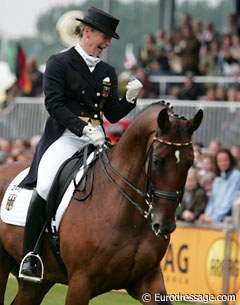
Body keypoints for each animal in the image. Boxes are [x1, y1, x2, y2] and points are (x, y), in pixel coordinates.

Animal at [0, 101, 202, 302]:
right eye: (157, 161)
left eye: (190, 162)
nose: (165, 225)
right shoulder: (80, 283)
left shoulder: (148, 280)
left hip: (39, 282)